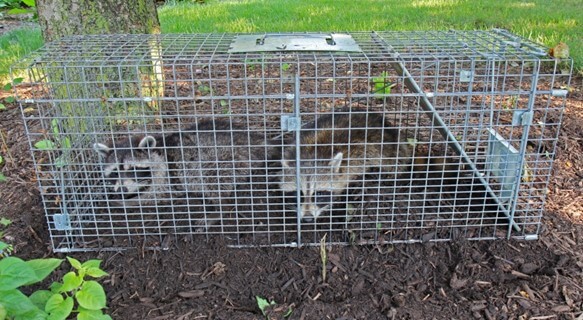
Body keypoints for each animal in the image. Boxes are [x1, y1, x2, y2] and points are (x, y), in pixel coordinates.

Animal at [93, 119, 278, 211]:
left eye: (132, 169)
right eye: (114, 172)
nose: (122, 190)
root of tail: (254, 140)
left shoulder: (165, 175)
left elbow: (153, 196)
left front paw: (126, 202)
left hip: (223, 159)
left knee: (212, 180)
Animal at [280, 110, 412, 222]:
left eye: (319, 194)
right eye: (298, 194)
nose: (308, 219)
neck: (311, 155)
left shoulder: (358, 154)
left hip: (387, 145)